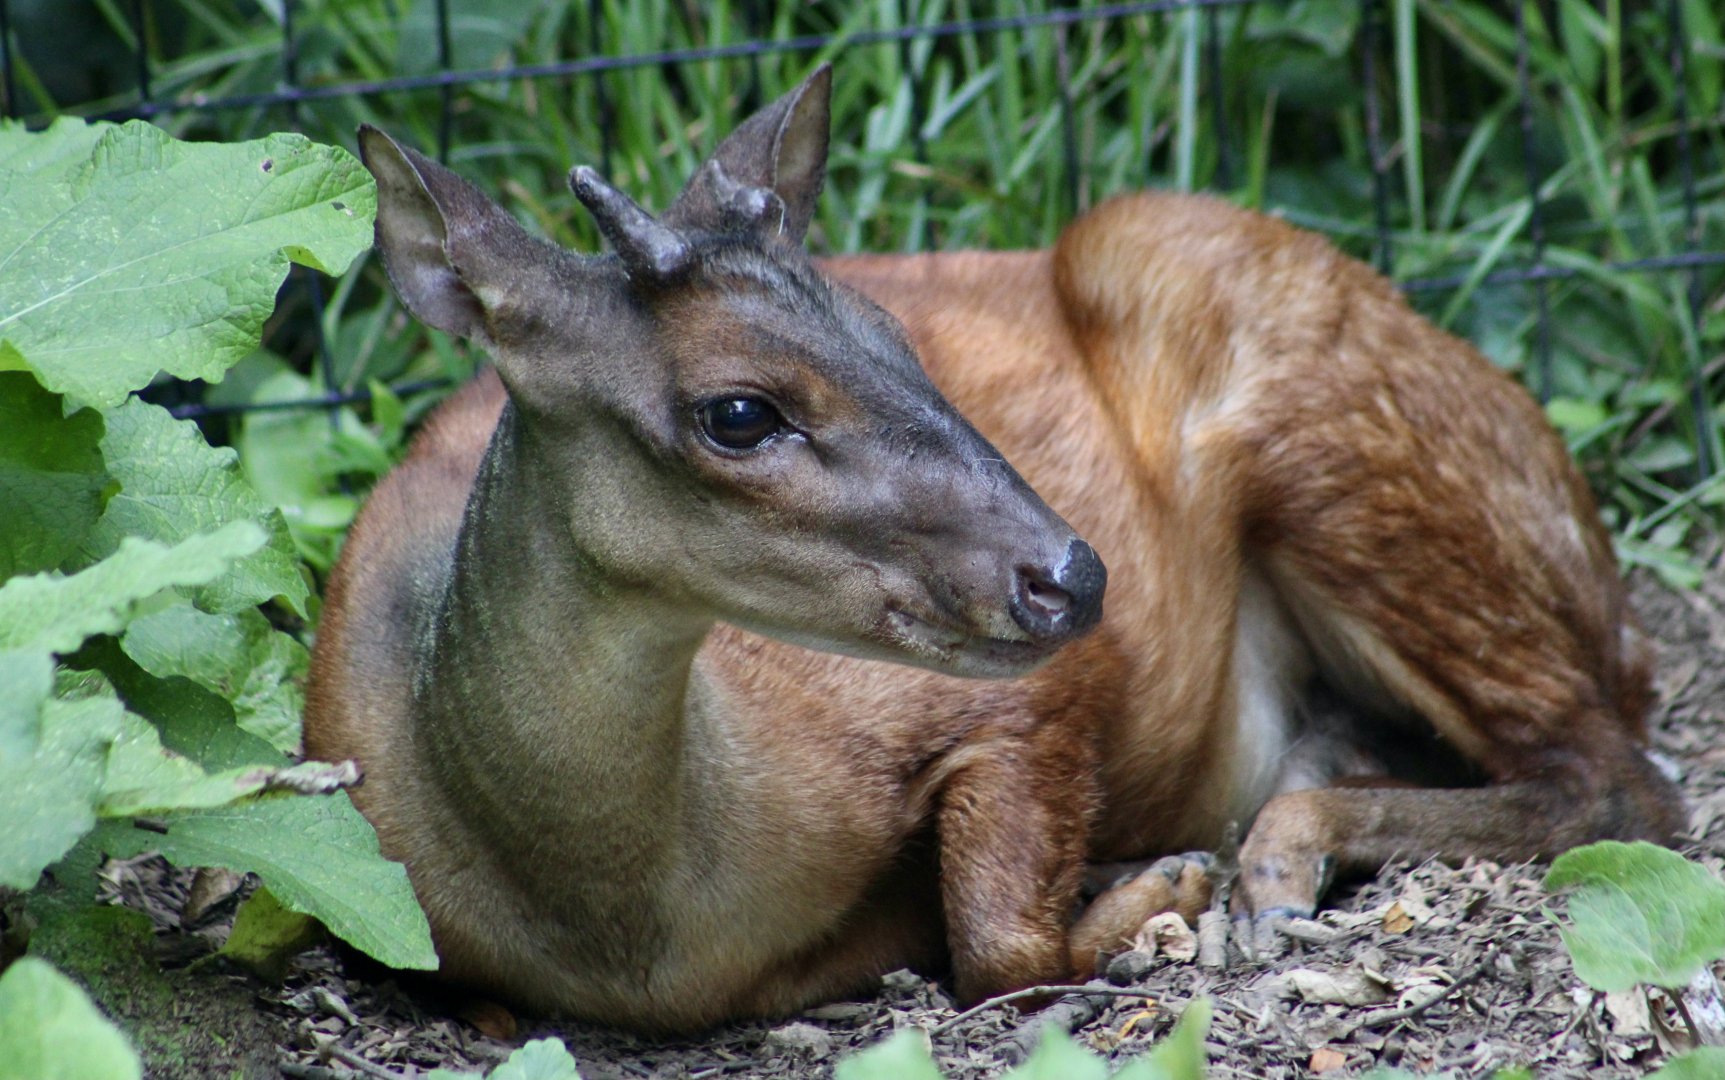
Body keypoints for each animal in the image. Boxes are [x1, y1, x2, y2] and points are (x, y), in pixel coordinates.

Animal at [303, 65, 1684, 1035]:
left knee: (1616, 772)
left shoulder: (1021, 696)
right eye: (739, 411)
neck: (638, 926)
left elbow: (1002, 946)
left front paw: (1167, 894)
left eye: (893, 332)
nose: (1074, 573)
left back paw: (1279, 854)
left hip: (1309, 400)